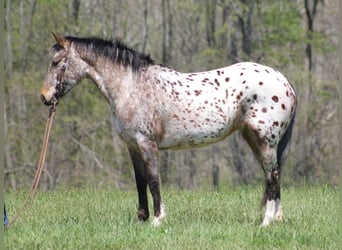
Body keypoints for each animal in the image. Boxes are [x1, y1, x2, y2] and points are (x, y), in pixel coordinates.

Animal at [40, 34, 296, 228]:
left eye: (56, 62)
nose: (44, 97)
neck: (132, 87)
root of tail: (284, 82)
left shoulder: (147, 143)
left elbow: (154, 179)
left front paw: (157, 220)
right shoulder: (133, 146)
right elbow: (140, 181)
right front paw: (142, 219)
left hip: (265, 141)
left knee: (272, 176)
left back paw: (266, 221)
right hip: (254, 139)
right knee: (273, 176)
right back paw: (277, 218)